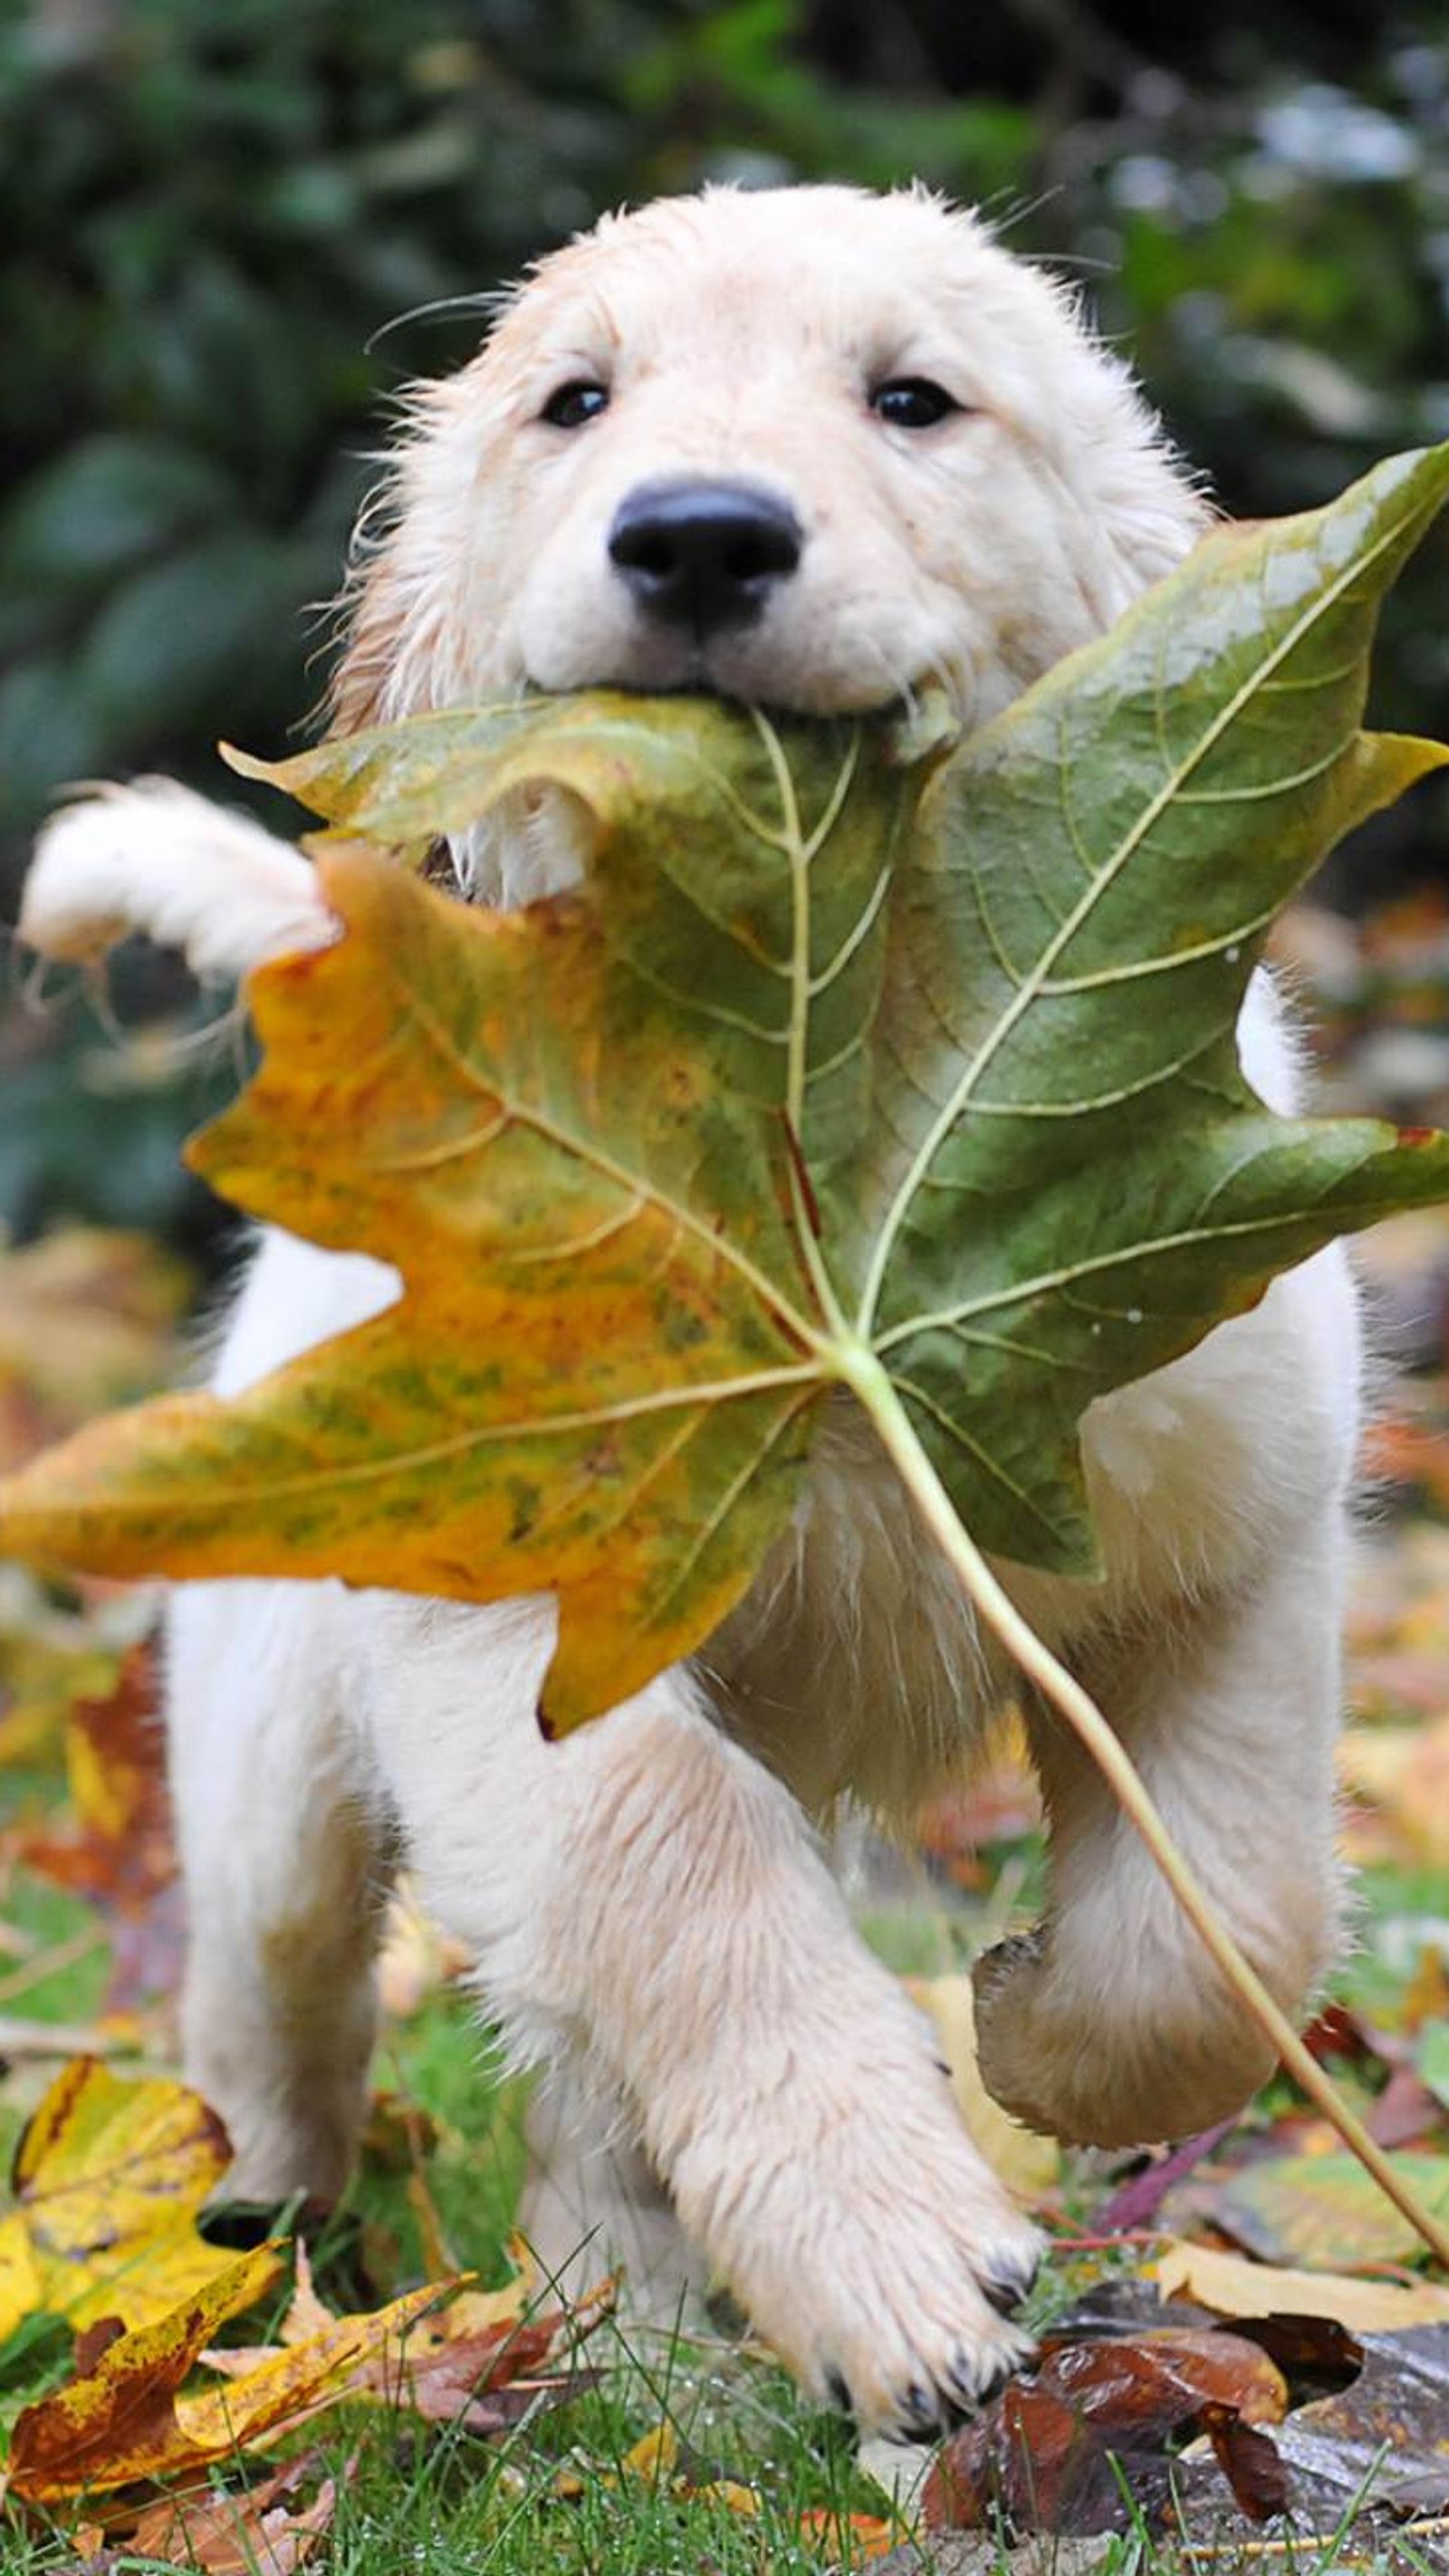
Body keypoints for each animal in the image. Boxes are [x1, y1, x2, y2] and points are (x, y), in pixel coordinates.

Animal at [23, 190, 1358, 2442]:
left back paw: (630, 2342)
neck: (809, 1113)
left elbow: (1222, 1915)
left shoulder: (1231, 1532)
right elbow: (679, 1875)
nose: (702, 539)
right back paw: (258, 2268)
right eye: (578, 401)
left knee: (576, 2094)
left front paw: (1037, 2038)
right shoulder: (517, 1633)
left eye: (911, 400)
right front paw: (889, 2250)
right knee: (283, 2007)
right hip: (271, 1737)